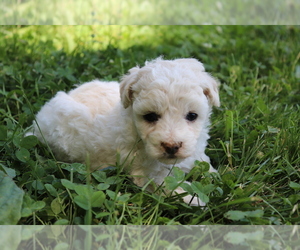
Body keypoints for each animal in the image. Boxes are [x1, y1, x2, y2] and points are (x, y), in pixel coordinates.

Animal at [29, 57, 219, 206]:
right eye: (150, 116)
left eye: (192, 115)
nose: (171, 146)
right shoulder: (147, 173)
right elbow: (168, 185)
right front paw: (194, 199)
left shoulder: (195, 152)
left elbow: (204, 163)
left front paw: (214, 176)